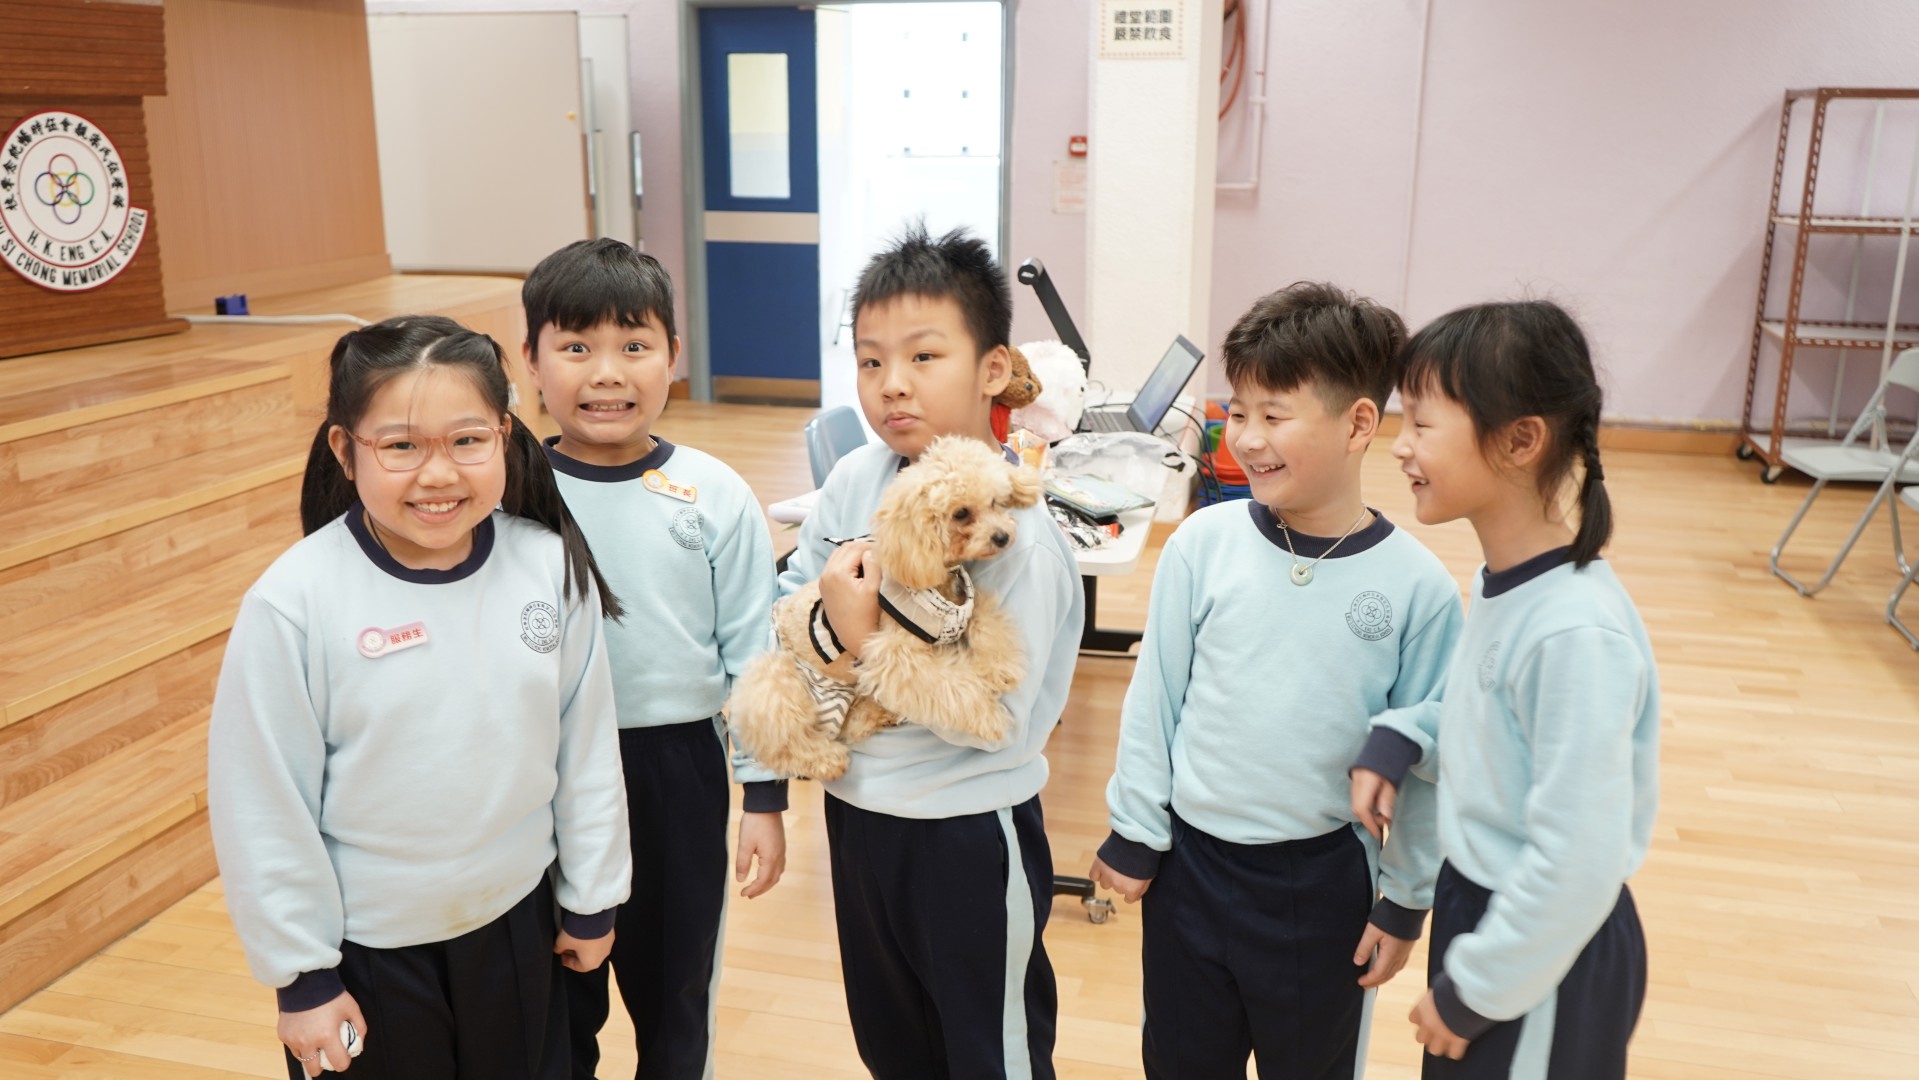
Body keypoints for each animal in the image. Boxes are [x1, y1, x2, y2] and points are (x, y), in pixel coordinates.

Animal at [727, 436, 1042, 781]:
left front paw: (1001, 669)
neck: (936, 580)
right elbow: (952, 687)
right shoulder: (898, 656)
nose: (1003, 537)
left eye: (996, 501)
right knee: (784, 744)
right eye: (961, 513)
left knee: (850, 724)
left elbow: (989, 625)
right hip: (776, 679)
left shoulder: (965, 606)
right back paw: (826, 759)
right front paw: (991, 718)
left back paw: (873, 715)